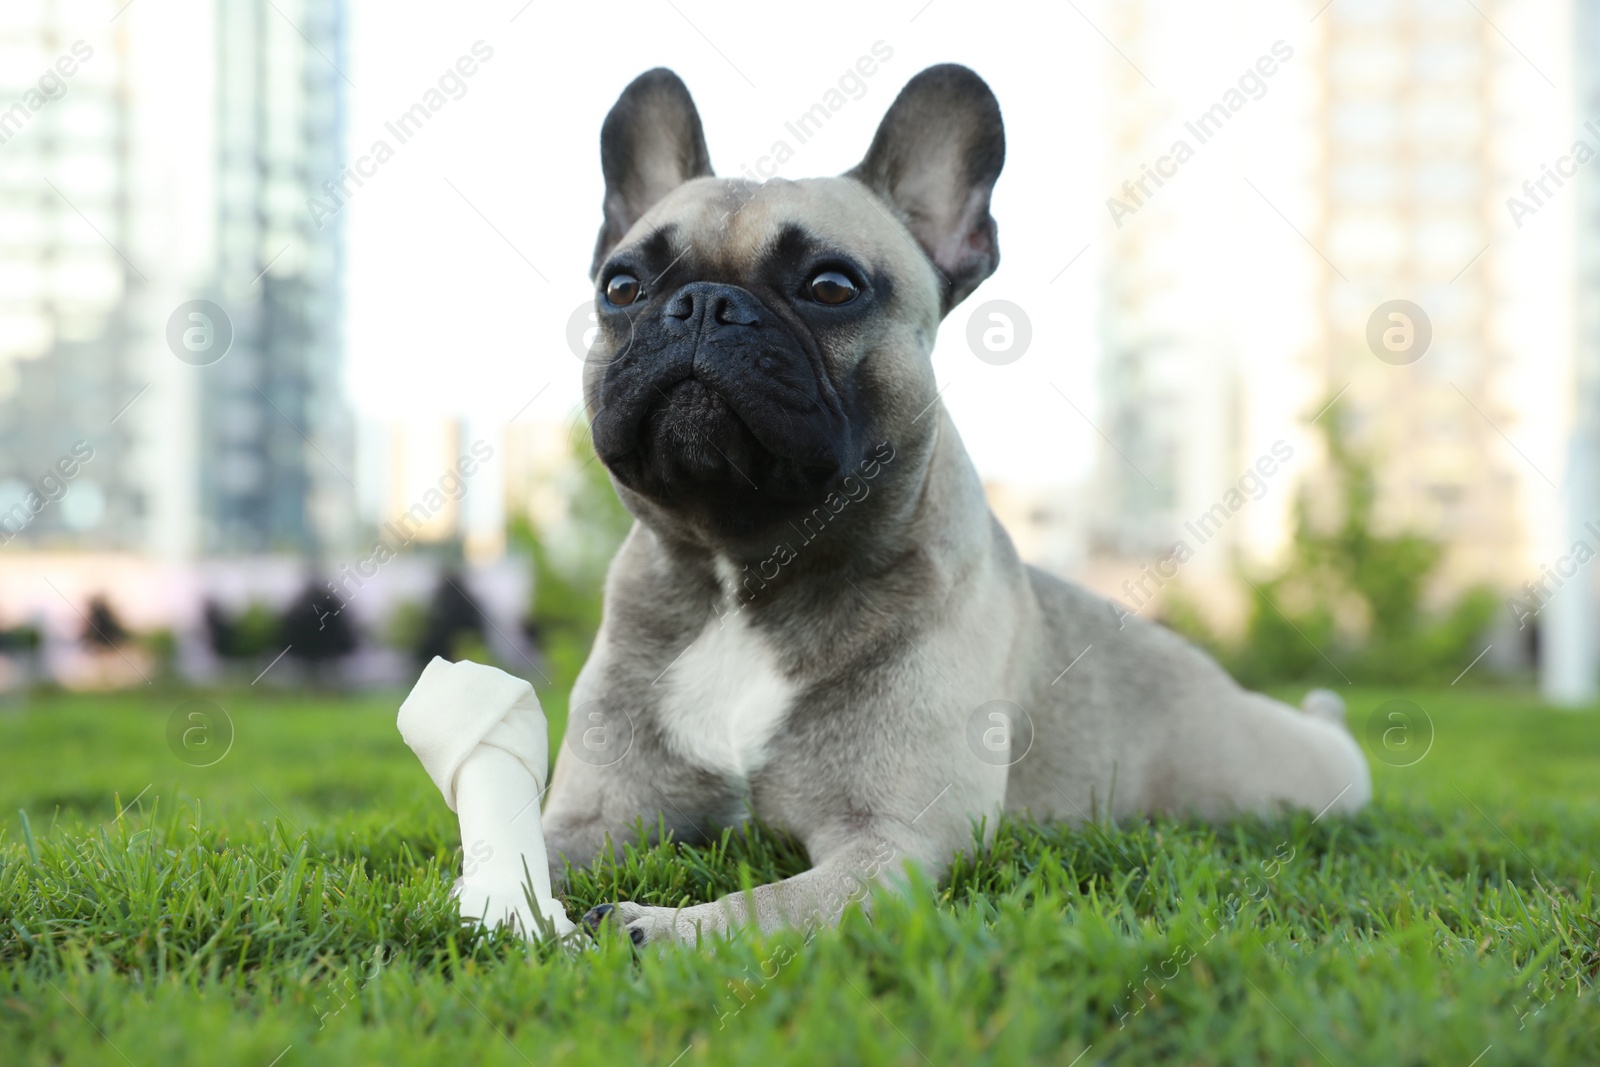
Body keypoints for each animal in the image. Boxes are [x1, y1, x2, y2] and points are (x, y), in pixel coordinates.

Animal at [544, 62, 1369, 947]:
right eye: (621, 285)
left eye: (831, 286)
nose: (701, 302)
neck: (745, 570)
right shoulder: (595, 814)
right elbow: (513, 851)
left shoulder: (890, 844)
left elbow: (764, 908)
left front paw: (658, 927)